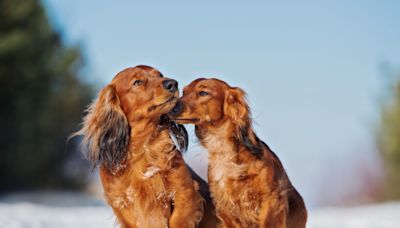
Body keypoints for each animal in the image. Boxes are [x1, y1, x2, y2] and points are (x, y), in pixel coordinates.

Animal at [75, 65, 205, 226]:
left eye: (160, 75)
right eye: (137, 82)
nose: (173, 83)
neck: (143, 150)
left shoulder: (186, 194)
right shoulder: (122, 206)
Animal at [170, 77, 308, 227]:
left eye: (203, 93)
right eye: (184, 92)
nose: (171, 109)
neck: (226, 152)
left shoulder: (271, 199)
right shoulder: (226, 208)